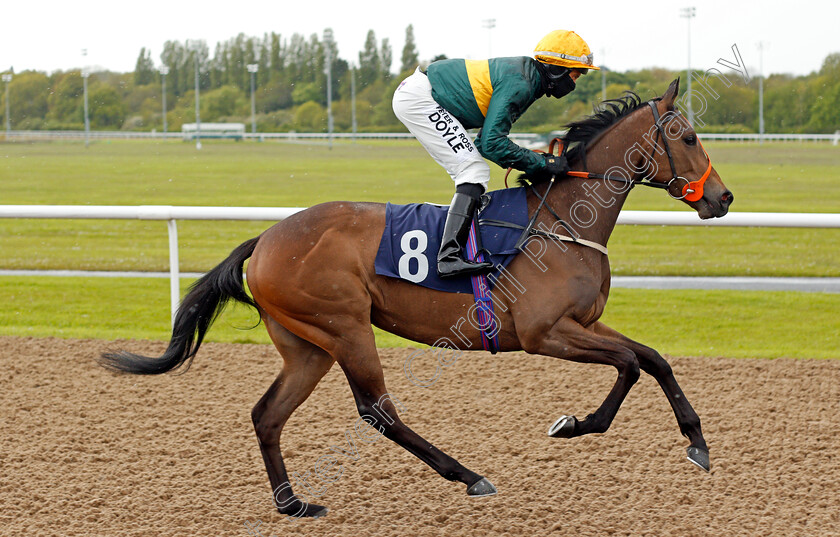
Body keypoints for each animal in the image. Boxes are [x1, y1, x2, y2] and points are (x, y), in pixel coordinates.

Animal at [101, 77, 736, 516]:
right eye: (687, 136)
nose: (723, 198)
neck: (561, 220)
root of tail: (267, 239)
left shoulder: (583, 322)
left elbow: (653, 359)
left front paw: (697, 444)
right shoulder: (544, 333)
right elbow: (628, 363)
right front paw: (574, 424)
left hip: (308, 345)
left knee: (267, 414)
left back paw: (293, 504)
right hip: (345, 327)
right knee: (376, 411)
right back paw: (468, 475)